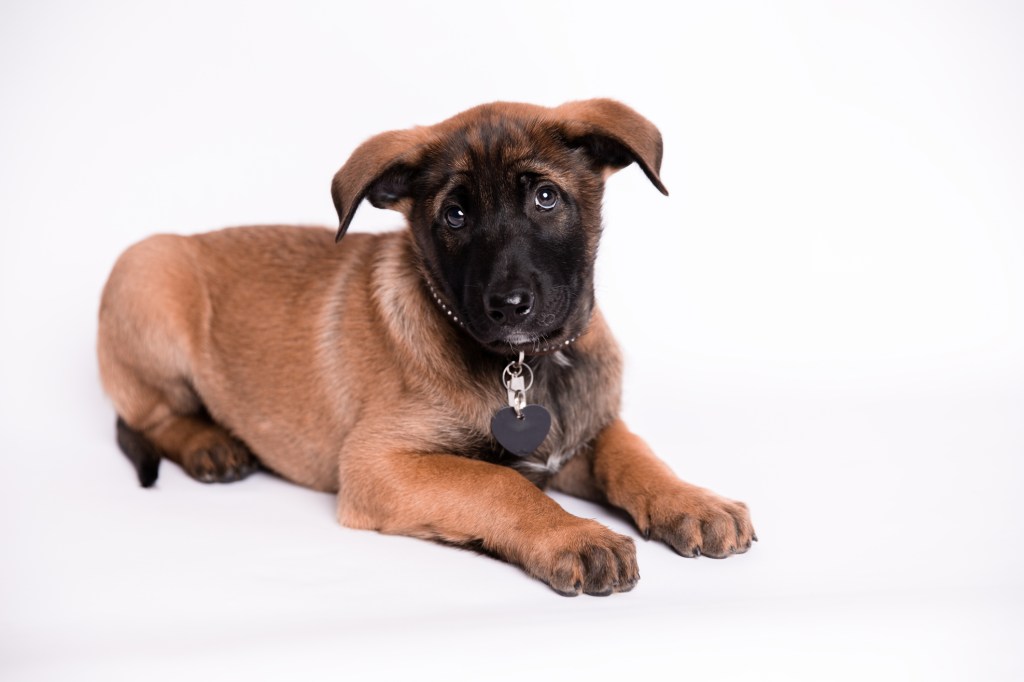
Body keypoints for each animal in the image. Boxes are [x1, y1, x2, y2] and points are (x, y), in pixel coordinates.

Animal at [97, 98, 753, 593]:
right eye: (454, 215)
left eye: (546, 198)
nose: (508, 306)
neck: (529, 364)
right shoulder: (376, 463)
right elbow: (497, 482)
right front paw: (574, 533)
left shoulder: (588, 428)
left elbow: (634, 454)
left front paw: (691, 501)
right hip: (148, 271)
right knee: (154, 415)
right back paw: (209, 444)